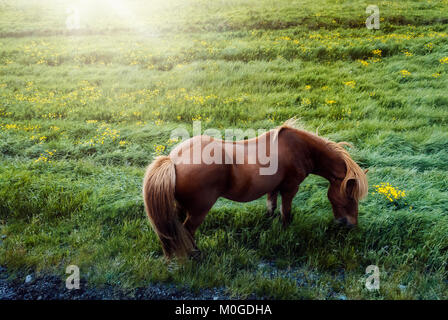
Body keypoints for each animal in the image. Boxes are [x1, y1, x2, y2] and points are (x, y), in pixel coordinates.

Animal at [144, 119, 368, 258]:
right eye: (351, 197)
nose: (351, 225)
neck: (300, 148)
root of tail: (173, 160)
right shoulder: (290, 188)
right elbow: (286, 212)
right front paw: (286, 231)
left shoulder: (274, 187)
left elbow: (271, 207)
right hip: (199, 210)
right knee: (189, 231)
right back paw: (196, 254)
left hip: (181, 206)